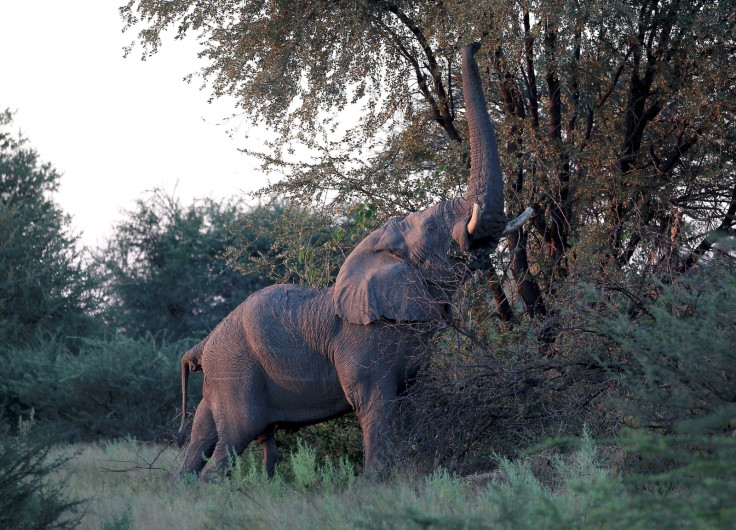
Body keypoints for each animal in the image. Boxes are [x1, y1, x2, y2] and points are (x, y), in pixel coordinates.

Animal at [172, 43, 528, 480]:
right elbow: (374, 402)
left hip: (221, 376)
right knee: (234, 438)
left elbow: (414, 399)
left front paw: (409, 475)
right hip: (235, 370)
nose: (475, 44)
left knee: (200, 442)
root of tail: (203, 344)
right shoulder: (362, 339)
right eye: (432, 228)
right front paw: (376, 482)